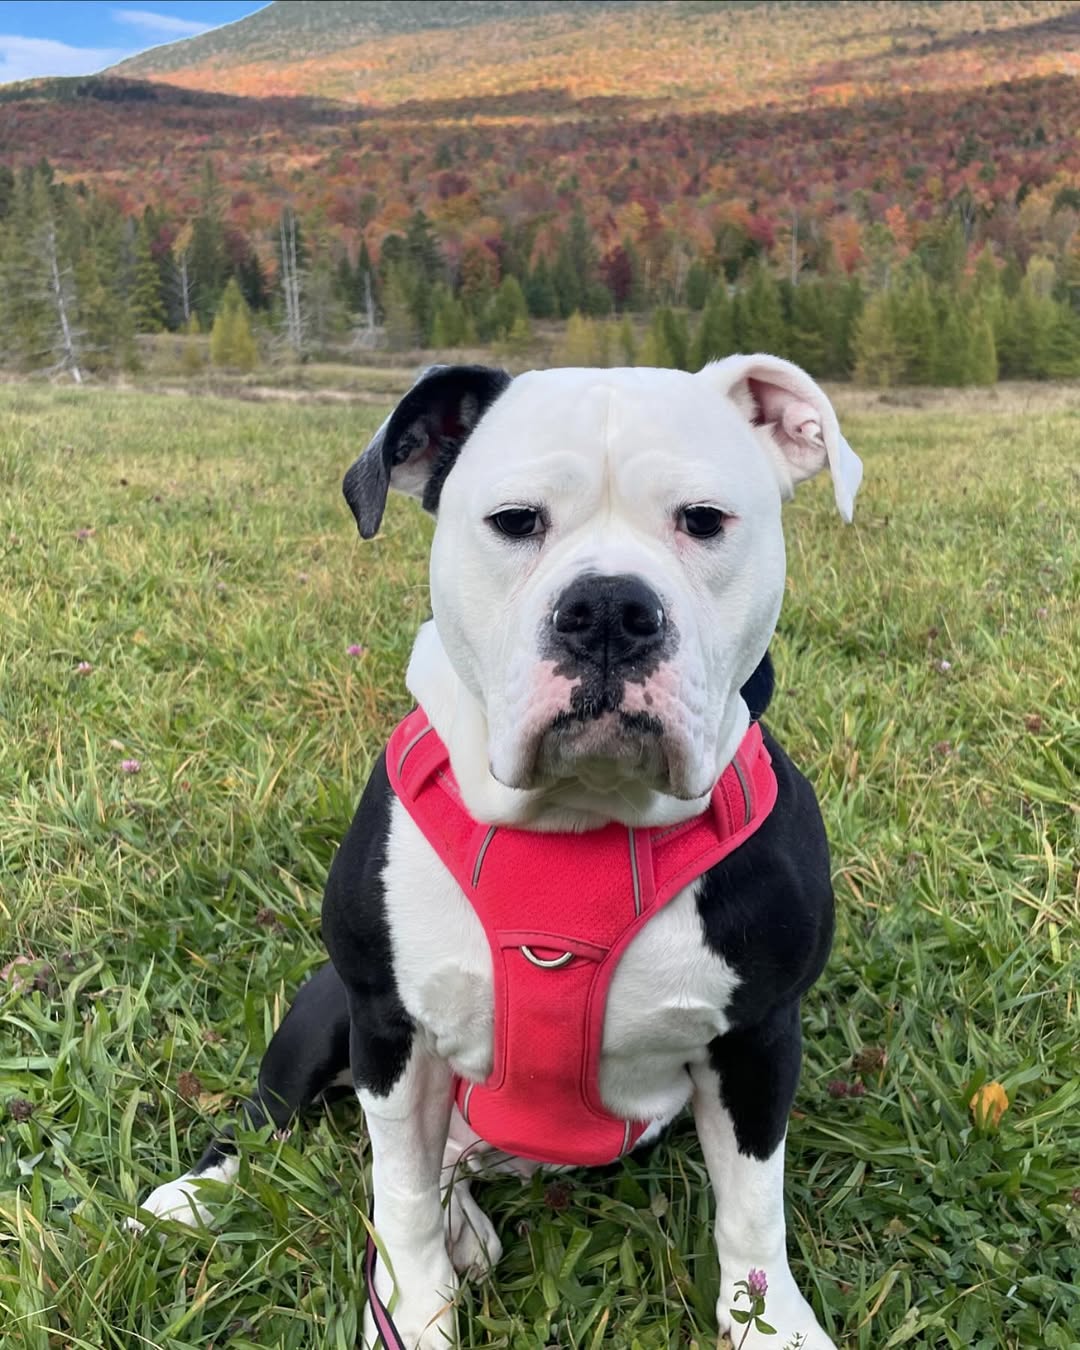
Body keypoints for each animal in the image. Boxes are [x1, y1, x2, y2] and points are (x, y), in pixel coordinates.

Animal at [132, 359, 858, 1350]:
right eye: (515, 521)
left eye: (704, 519)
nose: (607, 609)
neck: (578, 820)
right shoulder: (388, 1026)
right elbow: (398, 1194)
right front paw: (411, 1309)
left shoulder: (757, 1039)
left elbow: (751, 1209)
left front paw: (769, 1323)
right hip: (325, 1007)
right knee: (283, 1119)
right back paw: (205, 1192)